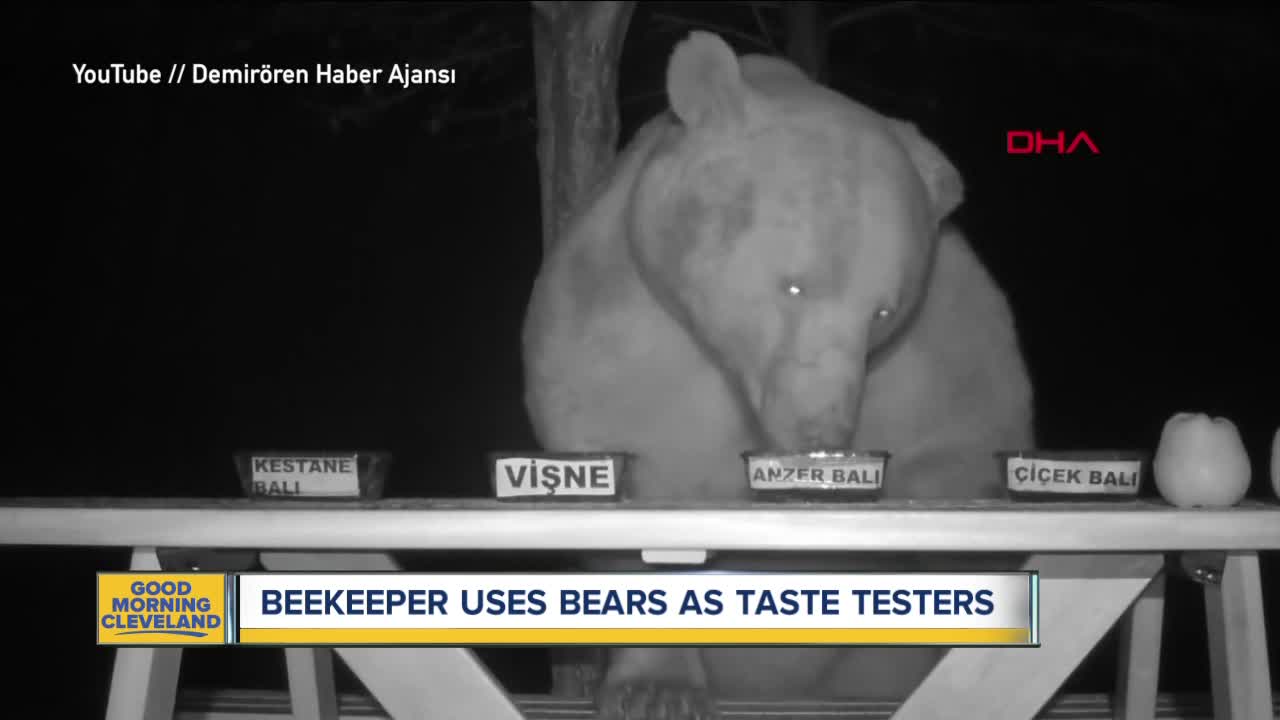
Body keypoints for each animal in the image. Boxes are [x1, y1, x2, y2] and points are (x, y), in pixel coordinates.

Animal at [519, 30, 1029, 712]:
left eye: (883, 310)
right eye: (792, 284)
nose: (822, 432)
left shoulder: (938, 338)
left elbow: (969, 436)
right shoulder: (620, 320)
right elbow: (620, 471)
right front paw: (657, 687)